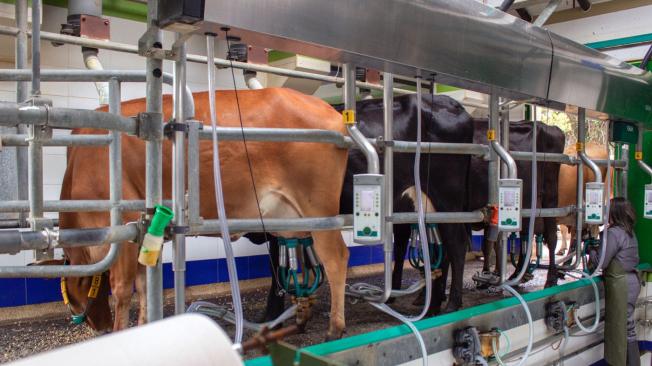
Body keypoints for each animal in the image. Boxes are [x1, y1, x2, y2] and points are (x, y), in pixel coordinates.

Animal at [58, 87, 348, 338]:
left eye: (70, 299)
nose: (102, 327)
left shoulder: (123, 229)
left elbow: (121, 289)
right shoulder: (142, 233)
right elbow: (144, 286)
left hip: (321, 209)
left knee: (336, 257)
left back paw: (335, 328)